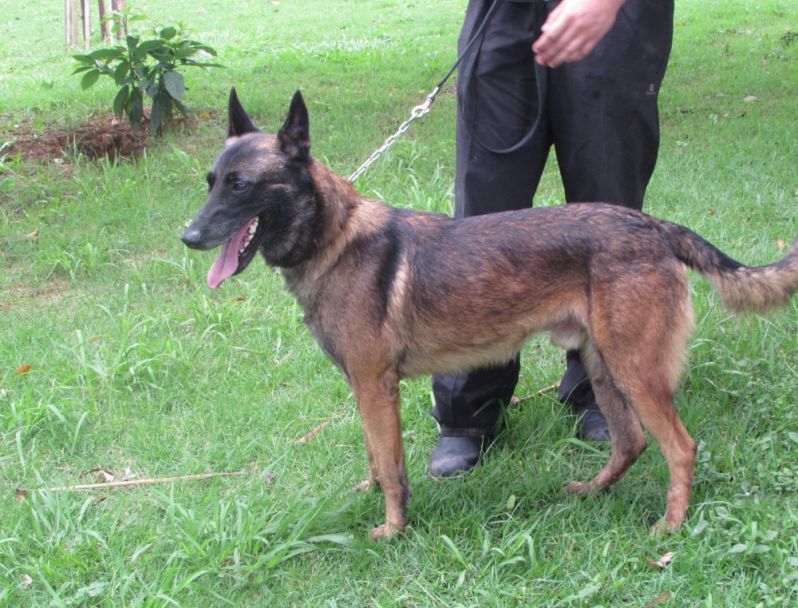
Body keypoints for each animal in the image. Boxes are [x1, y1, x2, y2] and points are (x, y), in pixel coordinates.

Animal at [183, 89, 798, 536]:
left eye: (241, 185)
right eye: (211, 183)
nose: (188, 236)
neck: (332, 236)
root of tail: (653, 226)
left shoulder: (376, 387)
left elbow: (392, 468)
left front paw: (392, 530)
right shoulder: (363, 387)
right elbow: (375, 458)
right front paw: (371, 497)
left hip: (635, 371)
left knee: (680, 447)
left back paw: (669, 528)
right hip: (604, 366)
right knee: (631, 442)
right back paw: (592, 492)